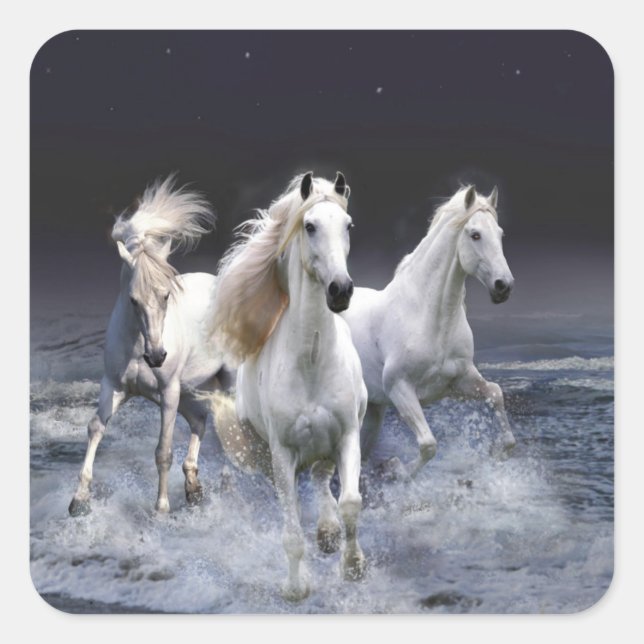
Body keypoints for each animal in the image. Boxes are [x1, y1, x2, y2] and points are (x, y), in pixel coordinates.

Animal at [69, 176, 233, 517]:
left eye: (166, 295)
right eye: (133, 299)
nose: (157, 356)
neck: (136, 347)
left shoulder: (168, 393)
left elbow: (163, 451)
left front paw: (161, 509)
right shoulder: (114, 386)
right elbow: (95, 428)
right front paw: (79, 500)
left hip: (223, 383)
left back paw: (225, 484)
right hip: (190, 391)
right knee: (200, 422)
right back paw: (193, 488)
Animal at [208, 172, 367, 601]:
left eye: (348, 226)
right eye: (309, 226)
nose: (340, 290)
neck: (311, 363)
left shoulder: (348, 435)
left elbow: (350, 502)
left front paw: (353, 567)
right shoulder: (282, 454)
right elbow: (292, 532)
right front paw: (297, 588)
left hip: (326, 446)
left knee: (322, 479)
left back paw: (328, 534)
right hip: (269, 457)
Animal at [341, 185, 516, 478]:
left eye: (501, 234)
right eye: (475, 234)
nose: (504, 286)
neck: (429, 319)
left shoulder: (459, 381)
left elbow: (495, 393)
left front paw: (498, 452)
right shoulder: (400, 388)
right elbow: (428, 444)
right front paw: (396, 469)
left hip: (373, 411)